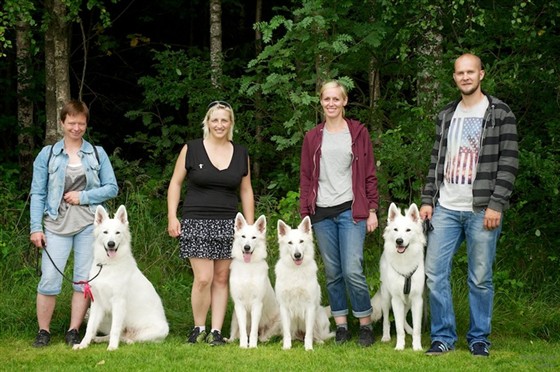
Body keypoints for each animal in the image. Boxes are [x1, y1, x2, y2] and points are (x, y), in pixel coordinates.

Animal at [73, 205, 168, 350]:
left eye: (118, 233)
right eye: (105, 232)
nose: (111, 244)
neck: (107, 265)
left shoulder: (118, 302)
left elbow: (115, 329)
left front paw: (112, 348)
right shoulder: (97, 304)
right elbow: (90, 327)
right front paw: (83, 344)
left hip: (157, 330)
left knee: (130, 338)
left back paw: (126, 341)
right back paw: (99, 339)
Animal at [228, 214, 280, 348]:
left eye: (254, 237)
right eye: (243, 236)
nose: (247, 247)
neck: (248, 266)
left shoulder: (257, 304)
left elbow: (253, 331)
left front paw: (252, 346)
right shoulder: (239, 305)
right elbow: (242, 331)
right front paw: (243, 346)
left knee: (263, 335)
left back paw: (264, 340)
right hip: (234, 316)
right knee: (235, 333)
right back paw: (229, 340)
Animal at [274, 217, 332, 350]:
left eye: (301, 241)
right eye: (290, 243)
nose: (297, 255)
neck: (296, 270)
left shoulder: (310, 307)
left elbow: (309, 333)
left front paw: (308, 348)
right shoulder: (284, 307)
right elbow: (287, 332)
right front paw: (286, 347)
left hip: (319, 317)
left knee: (316, 334)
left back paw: (318, 341)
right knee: (291, 334)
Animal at [370, 202, 426, 350]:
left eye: (408, 230)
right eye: (395, 230)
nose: (399, 241)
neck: (404, 261)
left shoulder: (417, 299)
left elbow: (417, 327)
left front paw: (417, 347)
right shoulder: (396, 299)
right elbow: (398, 327)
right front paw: (400, 347)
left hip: (407, 301)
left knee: (404, 317)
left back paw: (409, 330)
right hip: (386, 297)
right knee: (386, 320)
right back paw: (386, 336)